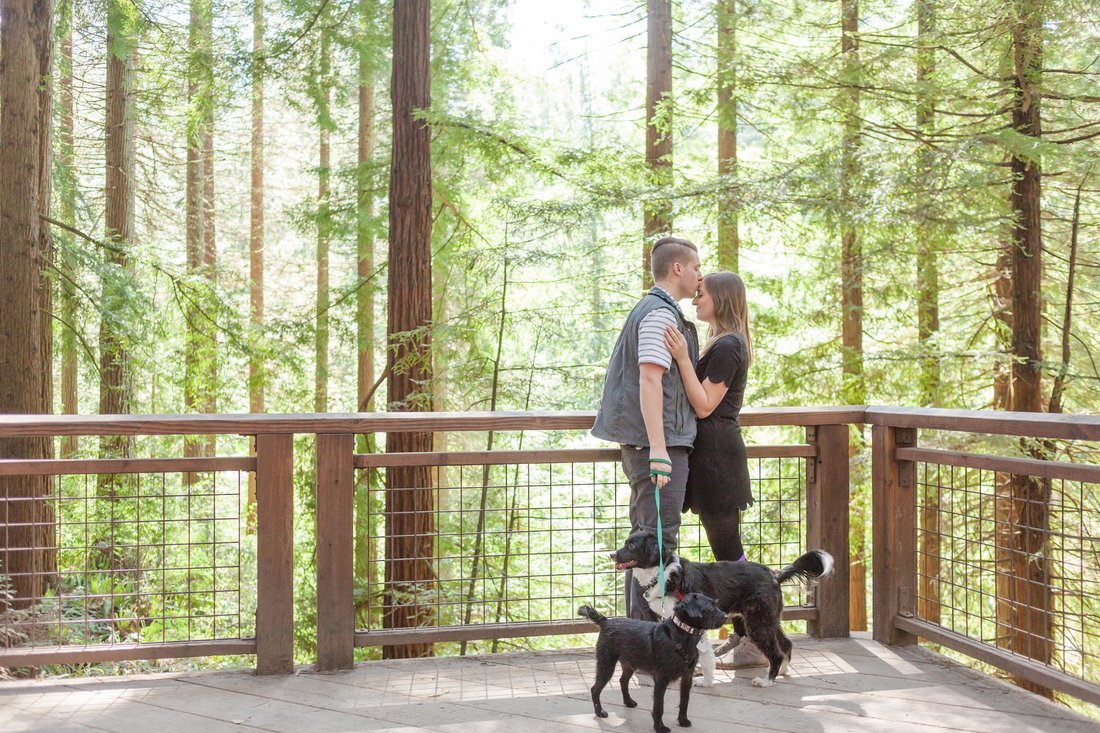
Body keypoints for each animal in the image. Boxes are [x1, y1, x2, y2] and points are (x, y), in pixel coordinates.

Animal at [576, 589, 730, 730]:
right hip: (606, 664)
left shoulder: (687, 676)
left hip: (629, 664)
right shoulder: (661, 680)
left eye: (715, 604)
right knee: (595, 689)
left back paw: (628, 702)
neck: (681, 636)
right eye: (710, 608)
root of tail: (606, 621)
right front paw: (659, 727)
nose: (726, 616)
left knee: (622, 681)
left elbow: (684, 701)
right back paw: (599, 711)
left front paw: (682, 720)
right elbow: (659, 706)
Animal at [611, 528, 831, 686]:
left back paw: (766, 681)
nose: (612, 554)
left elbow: (704, 655)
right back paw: (782, 670)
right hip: (769, 619)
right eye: (625, 543)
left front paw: (706, 681)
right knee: (786, 644)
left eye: (631, 546)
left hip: (757, 623)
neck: (664, 572)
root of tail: (774, 574)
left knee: (776, 652)